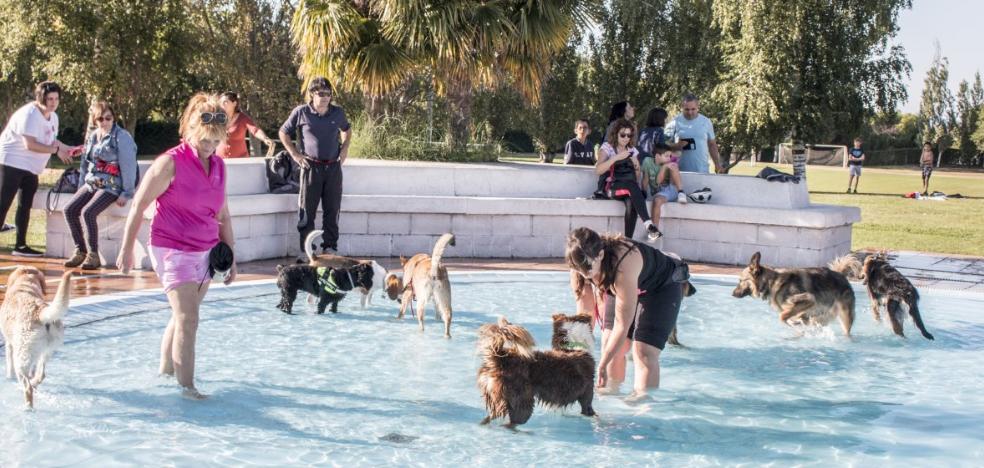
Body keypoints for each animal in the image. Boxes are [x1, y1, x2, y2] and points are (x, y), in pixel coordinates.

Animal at [1, 268, 72, 408]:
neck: (25, 284)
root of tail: (40, 312)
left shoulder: (9, 344)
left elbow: (9, 365)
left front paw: (9, 378)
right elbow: (34, 370)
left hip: (21, 358)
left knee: (27, 387)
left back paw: (28, 407)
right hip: (45, 351)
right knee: (41, 374)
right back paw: (34, 383)